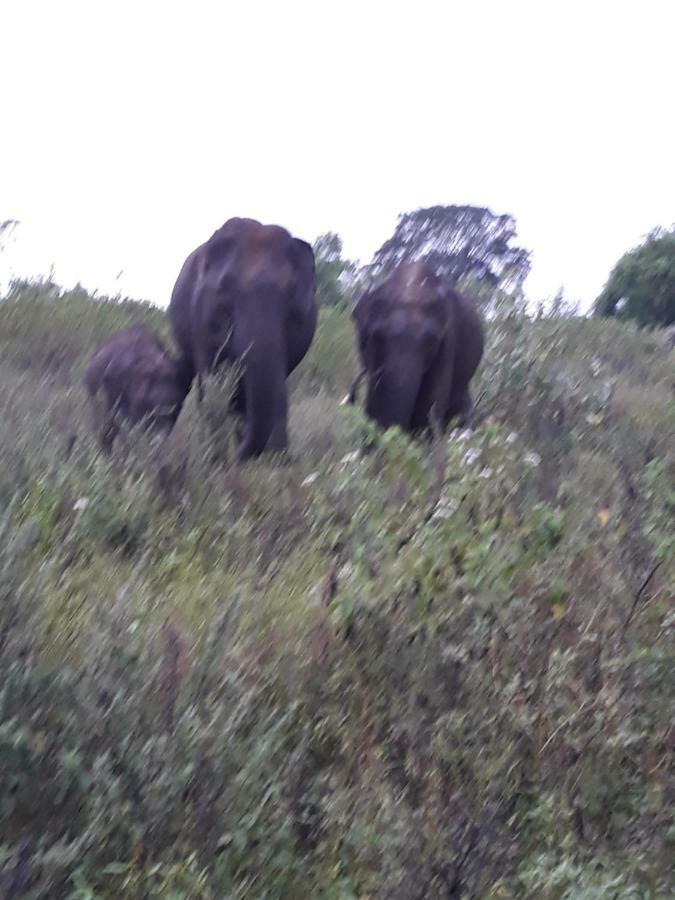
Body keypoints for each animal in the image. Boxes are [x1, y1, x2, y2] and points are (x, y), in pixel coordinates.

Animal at [168, 215, 318, 460]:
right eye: (224, 292)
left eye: (290, 293)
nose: (238, 457)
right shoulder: (200, 318)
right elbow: (212, 379)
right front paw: (215, 459)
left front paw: (278, 460)